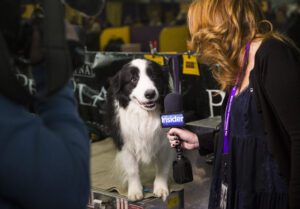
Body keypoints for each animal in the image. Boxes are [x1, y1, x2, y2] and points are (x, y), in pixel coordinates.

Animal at [106, 58, 175, 201]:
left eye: (154, 76)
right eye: (133, 79)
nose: (150, 94)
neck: (145, 114)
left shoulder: (165, 142)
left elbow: (162, 167)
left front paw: (161, 188)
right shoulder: (125, 144)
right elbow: (132, 170)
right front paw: (135, 191)